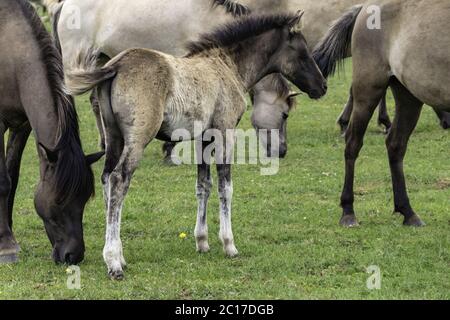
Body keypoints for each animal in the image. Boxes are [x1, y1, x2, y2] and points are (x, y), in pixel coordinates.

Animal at [0, 0, 102, 264]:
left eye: (84, 199)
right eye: (58, 200)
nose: (73, 255)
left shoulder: (22, 125)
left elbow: (13, 177)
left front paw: (9, 233)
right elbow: (3, 181)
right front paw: (6, 245)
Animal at [67, 11, 326, 278]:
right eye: (303, 52)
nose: (322, 86)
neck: (226, 66)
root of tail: (116, 65)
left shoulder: (204, 138)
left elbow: (203, 185)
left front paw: (202, 241)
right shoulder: (225, 131)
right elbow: (225, 187)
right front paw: (229, 244)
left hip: (114, 137)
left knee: (107, 178)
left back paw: (119, 255)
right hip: (137, 139)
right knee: (119, 179)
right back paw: (113, 262)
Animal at [312, 0, 450, 228]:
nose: (447, 122)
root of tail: (364, 7)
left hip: (408, 97)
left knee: (395, 145)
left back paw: (408, 212)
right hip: (368, 90)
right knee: (352, 144)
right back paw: (348, 212)